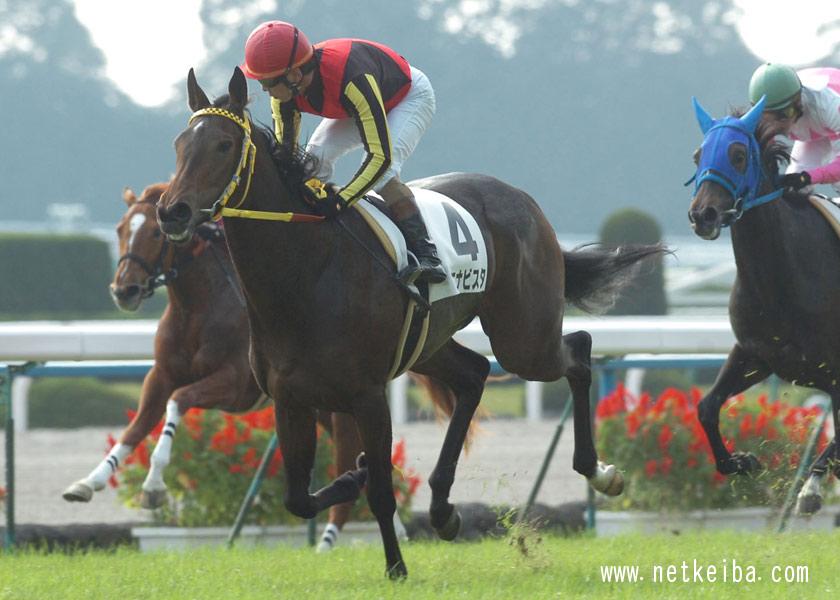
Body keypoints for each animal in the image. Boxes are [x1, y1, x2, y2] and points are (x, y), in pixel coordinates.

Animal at [62, 182, 458, 551]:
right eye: (120, 229)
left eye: (155, 234)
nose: (123, 290)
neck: (199, 309)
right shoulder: (161, 374)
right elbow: (138, 425)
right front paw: (88, 482)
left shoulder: (235, 386)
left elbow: (179, 400)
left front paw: (153, 486)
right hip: (320, 407)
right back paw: (391, 528)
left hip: (344, 402)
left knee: (349, 453)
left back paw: (331, 539)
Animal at [156, 67, 664, 578]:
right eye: (179, 144)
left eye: (223, 145)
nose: (172, 211)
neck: (306, 275)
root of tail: (522, 199)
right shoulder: (289, 399)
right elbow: (298, 498)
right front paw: (357, 474)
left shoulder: (367, 395)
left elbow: (381, 493)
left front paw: (396, 568)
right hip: (430, 344)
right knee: (474, 375)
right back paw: (443, 510)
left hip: (523, 337)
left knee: (577, 349)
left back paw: (600, 472)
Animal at [688, 96, 840, 515]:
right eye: (697, 156)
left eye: (739, 155)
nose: (702, 214)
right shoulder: (755, 353)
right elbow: (707, 407)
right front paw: (743, 461)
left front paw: (810, 490)